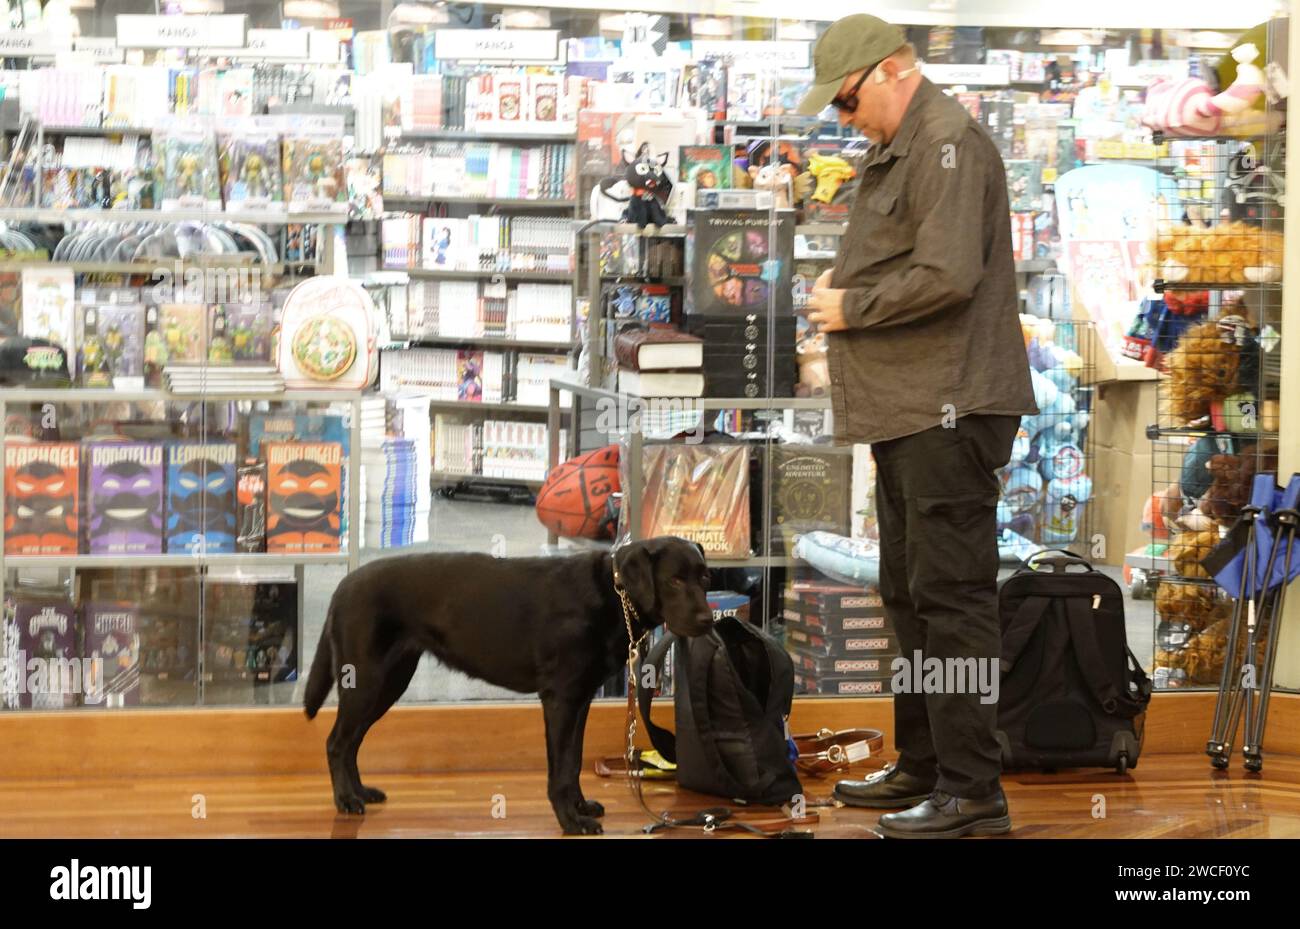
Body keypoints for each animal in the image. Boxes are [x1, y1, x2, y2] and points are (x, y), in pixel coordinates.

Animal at [304, 537, 712, 836]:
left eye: (705, 579)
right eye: (675, 580)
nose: (708, 620)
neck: (613, 593)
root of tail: (343, 586)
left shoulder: (579, 699)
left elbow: (573, 762)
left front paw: (580, 807)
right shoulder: (560, 699)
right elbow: (560, 770)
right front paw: (571, 820)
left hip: (389, 682)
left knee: (351, 742)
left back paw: (361, 793)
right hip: (366, 680)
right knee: (336, 742)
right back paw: (346, 800)